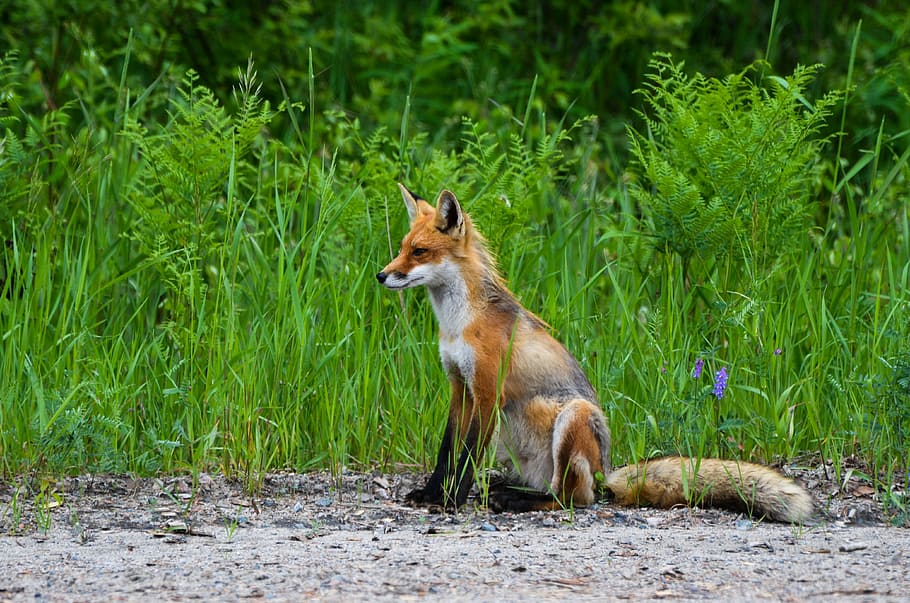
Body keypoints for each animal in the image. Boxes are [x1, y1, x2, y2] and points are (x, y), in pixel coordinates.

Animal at [377, 183, 814, 523]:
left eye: (419, 252)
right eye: (401, 248)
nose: (381, 275)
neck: (458, 324)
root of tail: (607, 473)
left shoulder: (486, 393)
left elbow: (465, 457)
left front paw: (451, 502)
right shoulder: (458, 386)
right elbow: (446, 451)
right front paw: (432, 494)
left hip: (575, 416)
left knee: (572, 498)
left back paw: (515, 501)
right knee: (555, 489)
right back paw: (508, 490)